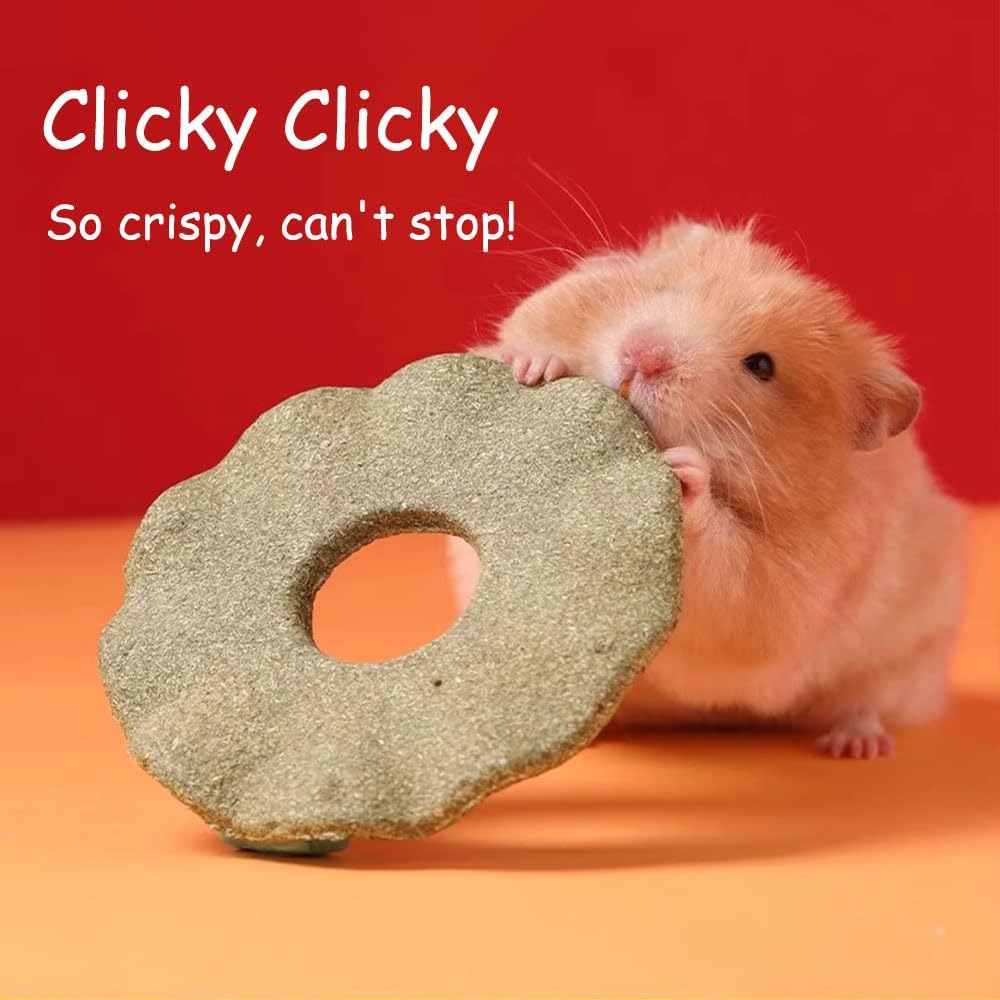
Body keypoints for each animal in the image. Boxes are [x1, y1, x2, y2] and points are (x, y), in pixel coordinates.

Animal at [451, 218, 967, 758]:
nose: (641, 357)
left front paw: (686, 475)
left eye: (761, 366)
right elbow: (517, 339)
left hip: (903, 668)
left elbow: (729, 577)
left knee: (866, 704)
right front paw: (536, 366)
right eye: (669, 289)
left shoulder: (782, 593)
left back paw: (856, 745)